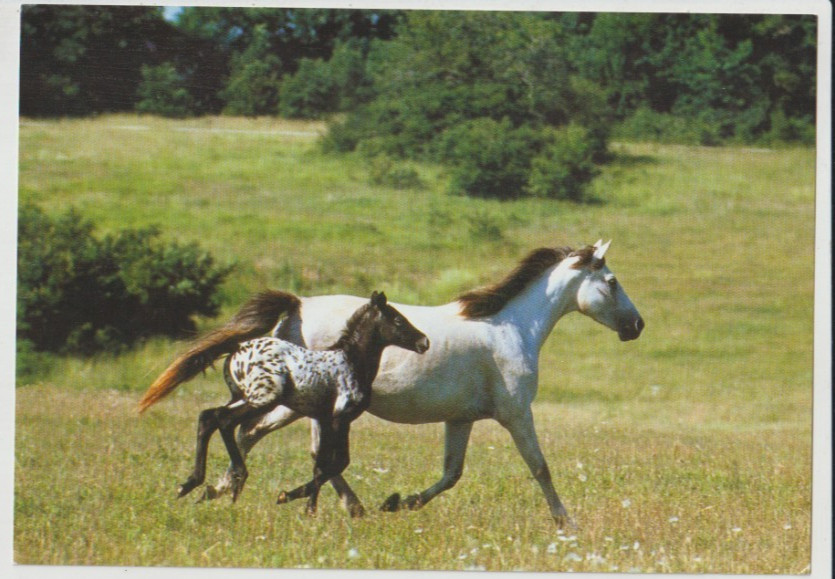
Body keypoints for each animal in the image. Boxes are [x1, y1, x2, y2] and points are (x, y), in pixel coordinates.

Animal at [138, 291, 430, 515]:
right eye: (398, 319)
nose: (424, 342)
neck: (350, 362)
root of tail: (237, 349)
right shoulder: (339, 418)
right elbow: (333, 464)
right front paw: (300, 504)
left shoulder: (327, 419)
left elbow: (325, 464)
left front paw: (300, 503)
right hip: (262, 399)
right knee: (223, 420)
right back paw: (234, 479)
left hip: (242, 397)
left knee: (208, 417)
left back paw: (192, 483)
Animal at [168, 240, 642, 528]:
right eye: (612, 281)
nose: (637, 325)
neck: (512, 329)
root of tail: (297, 306)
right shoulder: (516, 414)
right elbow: (540, 467)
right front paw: (566, 522)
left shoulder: (461, 419)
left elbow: (451, 474)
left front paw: (400, 502)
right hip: (293, 403)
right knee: (262, 436)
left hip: (296, 405)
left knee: (252, 435)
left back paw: (221, 490)